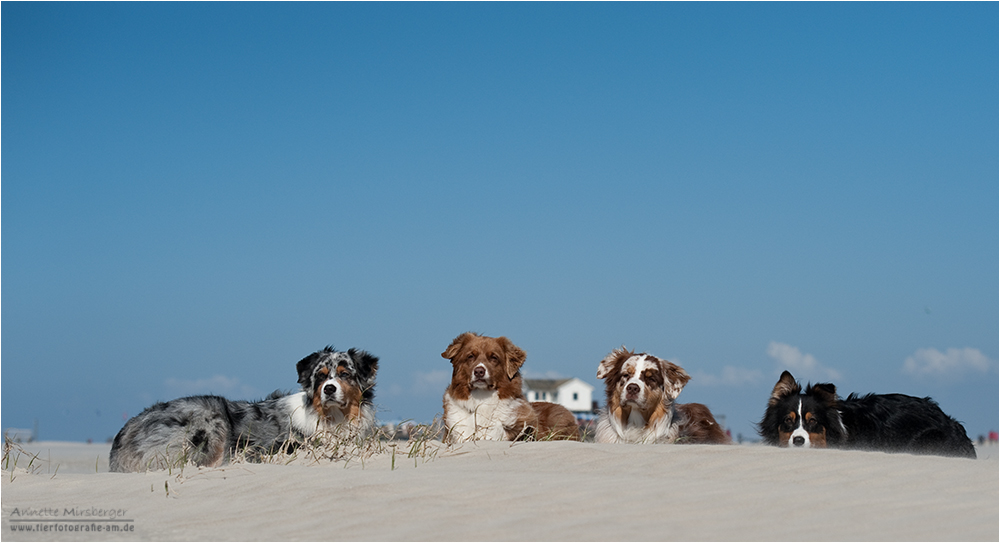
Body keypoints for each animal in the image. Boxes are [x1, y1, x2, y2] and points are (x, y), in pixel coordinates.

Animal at [107, 348, 376, 472]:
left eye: (345, 374)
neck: (332, 418)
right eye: (320, 376)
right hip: (210, 416)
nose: (329, 389)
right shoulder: (263, 446)